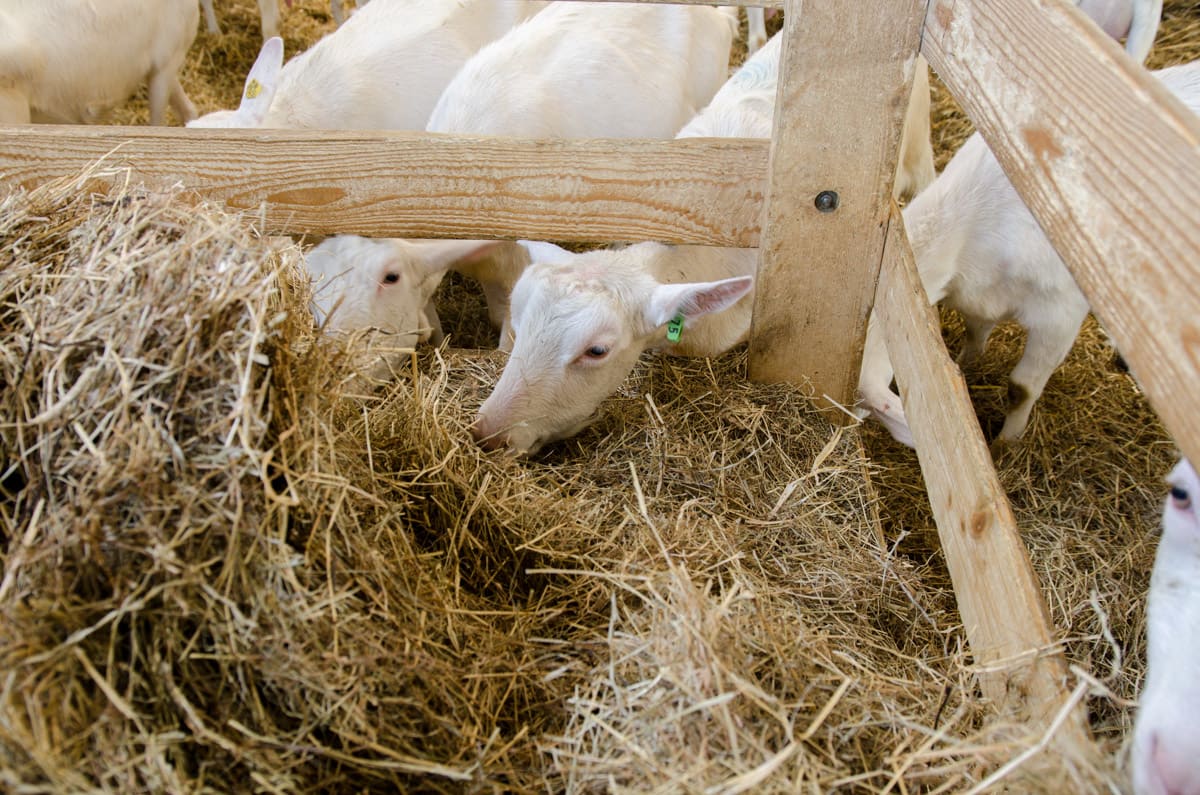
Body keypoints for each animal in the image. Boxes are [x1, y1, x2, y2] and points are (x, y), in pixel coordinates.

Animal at [854, 56, 1190, 451]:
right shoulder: (977, 295)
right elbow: (975, 334)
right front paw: (965, 367)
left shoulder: (1060, 318)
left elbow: (1020, 388)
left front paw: (1007, 443)